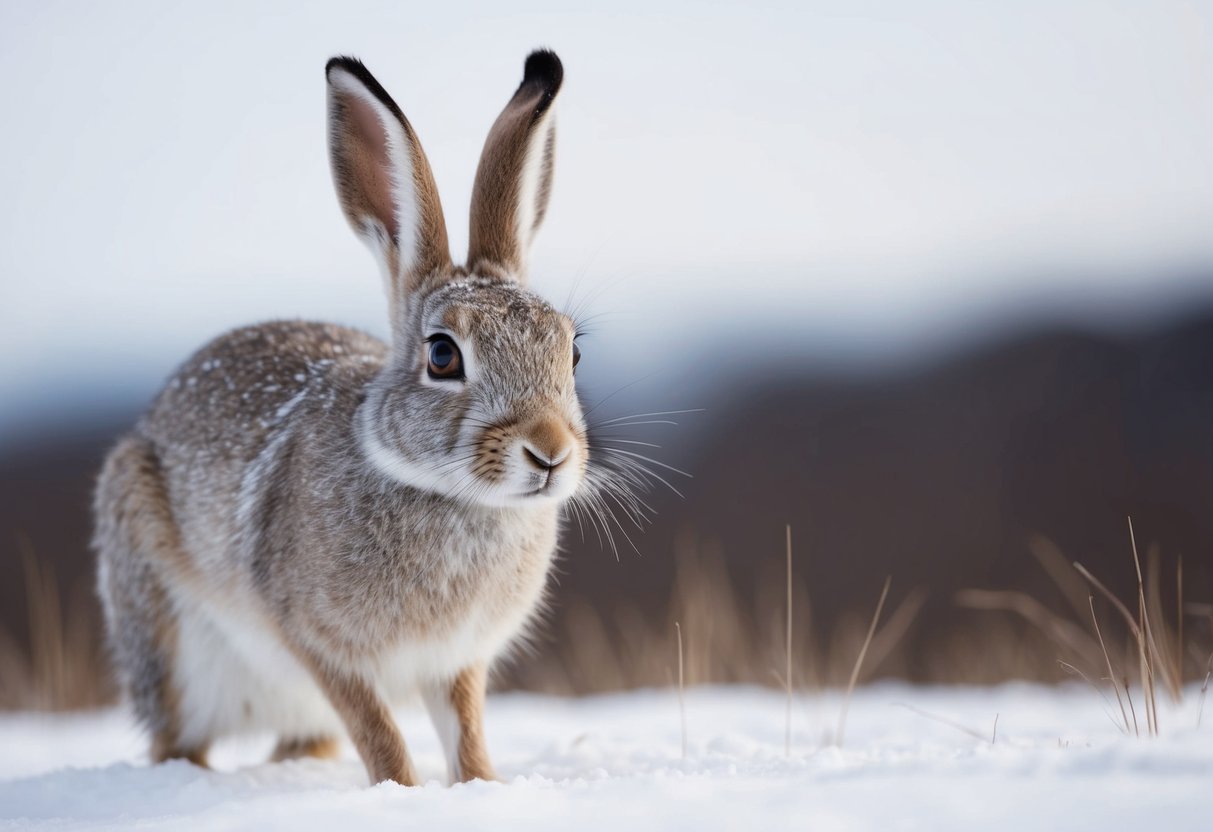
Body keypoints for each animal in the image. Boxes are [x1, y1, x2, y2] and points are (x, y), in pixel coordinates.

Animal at [93, 49, 586, 786]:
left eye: (571, 349)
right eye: (443, 355)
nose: (549, 450)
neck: (449, 495)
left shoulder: (455, 661)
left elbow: (466, 730)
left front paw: (481, 786)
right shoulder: (322, 646)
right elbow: (378, 732)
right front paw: (402, 791)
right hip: (165, 638)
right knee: (177, 741)